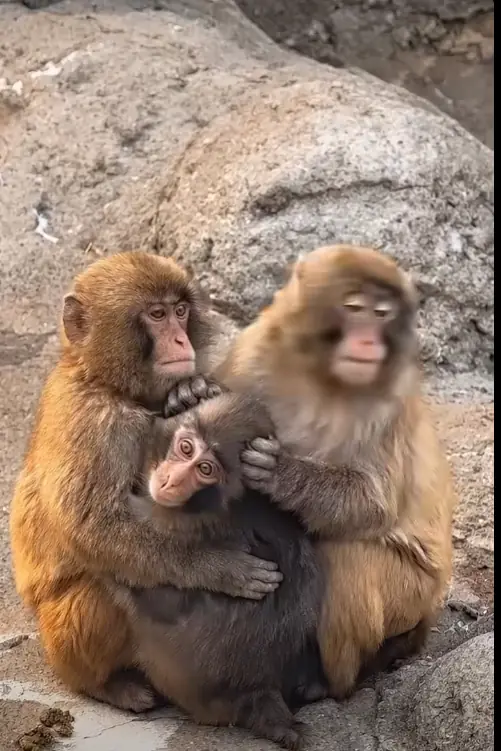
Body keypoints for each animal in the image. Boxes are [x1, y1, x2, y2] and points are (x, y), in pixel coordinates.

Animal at [9, 251, 282, 713]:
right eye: (156, 315)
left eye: (180, 311)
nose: (181, 342)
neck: (107, 383)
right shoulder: (95, 423)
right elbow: (95, 530)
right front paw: (217, 567)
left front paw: (190, 392)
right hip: (59, 640)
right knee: (101, 590)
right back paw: (105, 685)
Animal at [113, 392, 325, 750]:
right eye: (186, 448)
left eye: (205, 469)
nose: (170, 480)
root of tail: (257, 687)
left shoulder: (174, 521)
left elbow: (160, 593)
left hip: (171, 670)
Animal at [212, 244, 457, 700]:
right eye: (354, 308)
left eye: (381, 314)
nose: (368, 340)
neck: (323, 378)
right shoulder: (252, 354)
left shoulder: (389, 405)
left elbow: (373, 504)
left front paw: (283, 474)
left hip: (414, 597)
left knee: (347, 554)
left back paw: (334, 681)